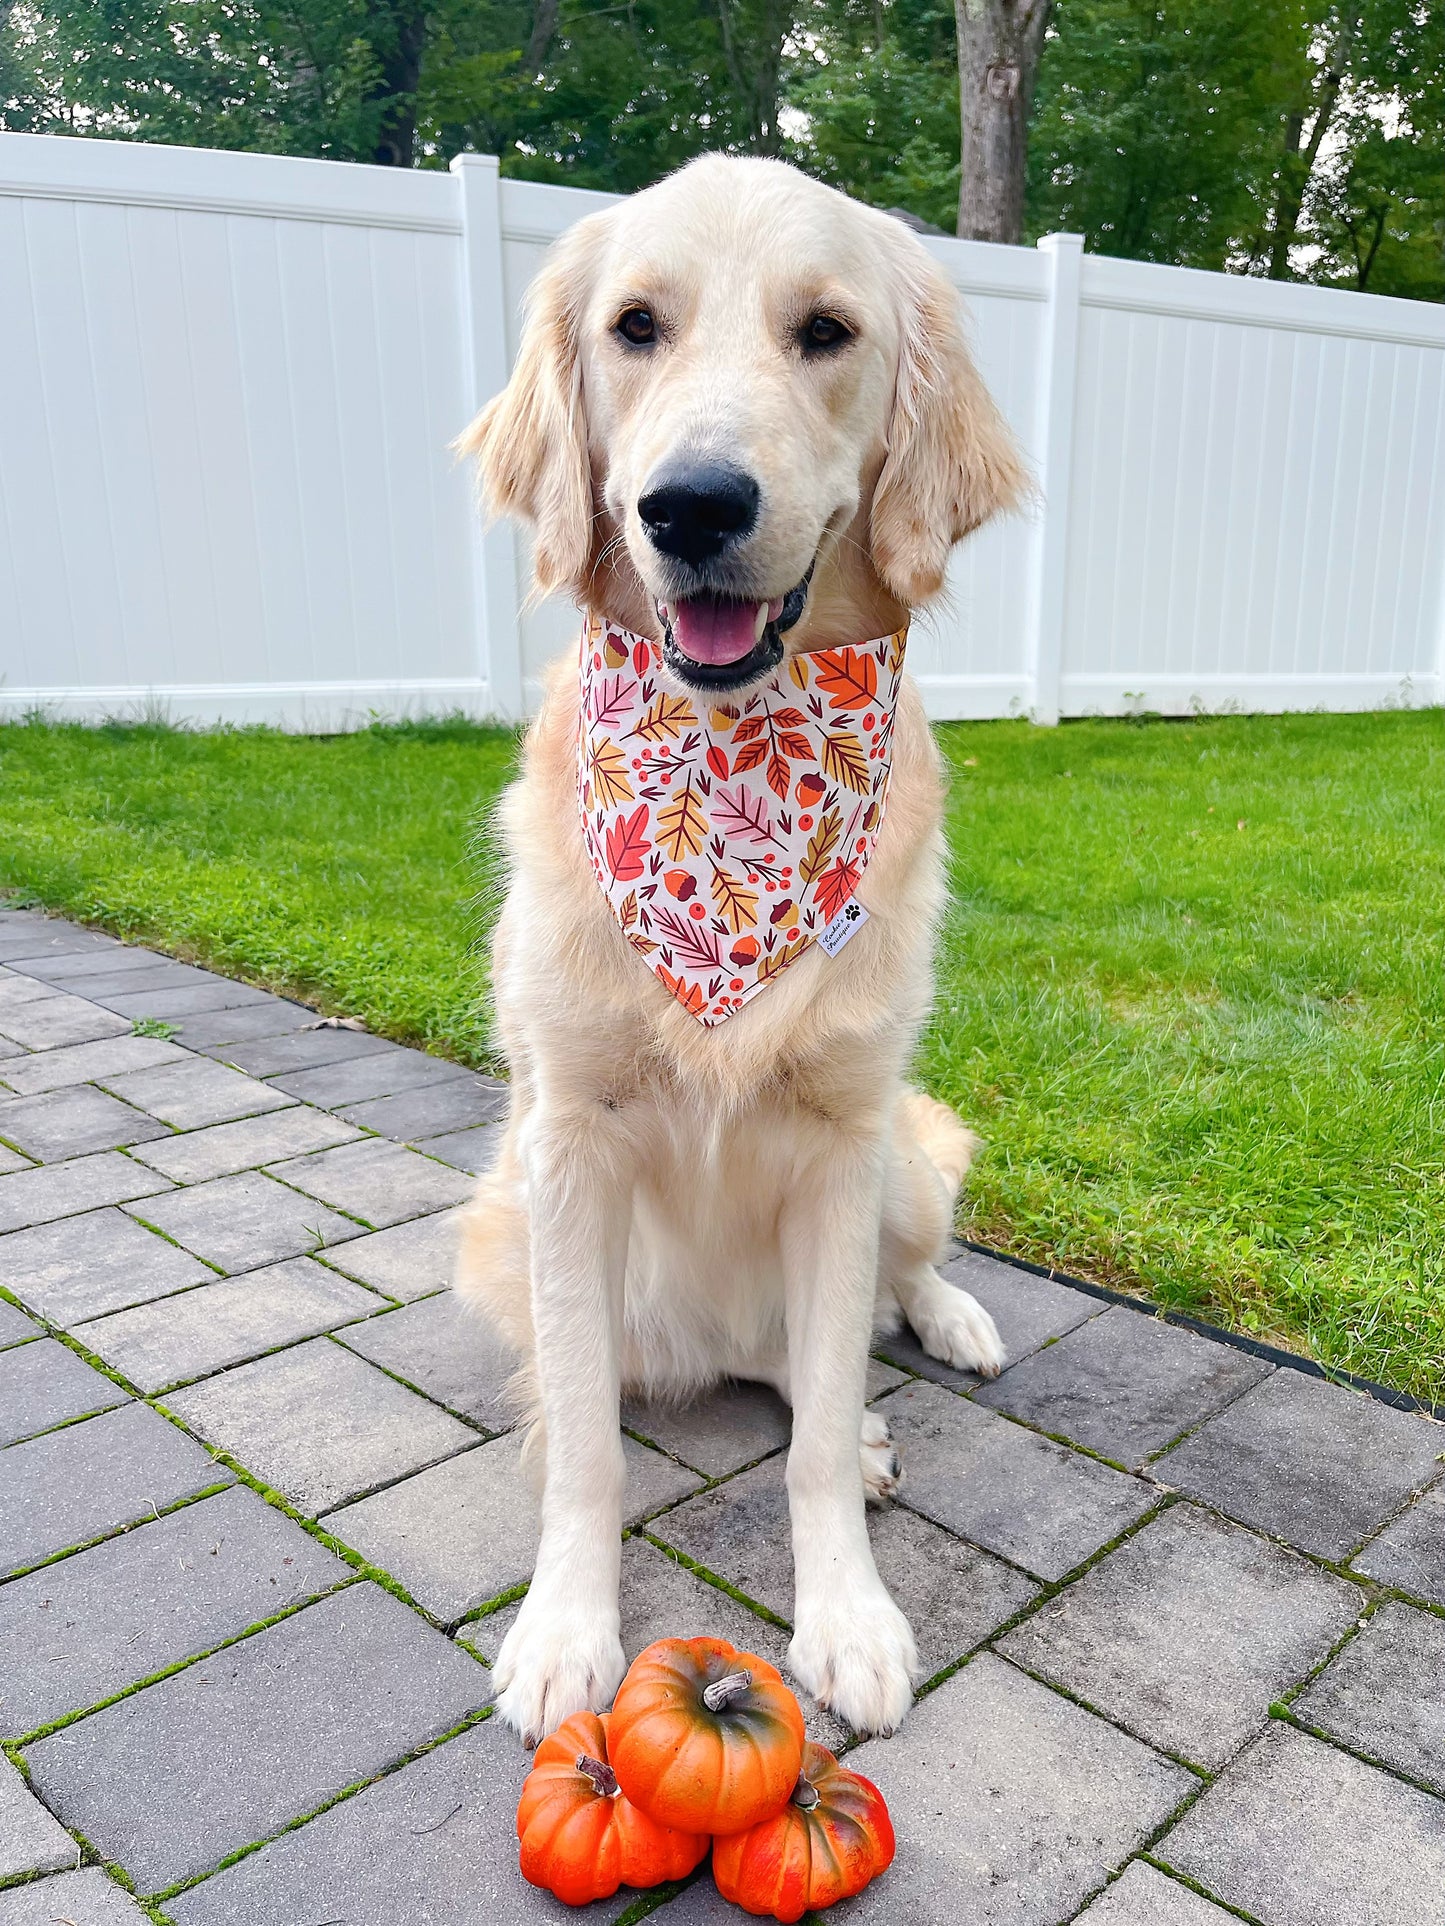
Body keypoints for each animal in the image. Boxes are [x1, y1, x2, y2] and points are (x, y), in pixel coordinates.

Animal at [458, 150, 1024, 1748]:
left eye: (824, 331)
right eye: (634, 327)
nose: (692, 505)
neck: (736, 779)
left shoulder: (840, 1141)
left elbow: (818, 1433)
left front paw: (846, 1617)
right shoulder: (565, 1143)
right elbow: (589, 1440)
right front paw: (564, 1626)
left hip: (904, 1153)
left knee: (869, 1308)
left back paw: (950, 1322)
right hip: (501, 1230)